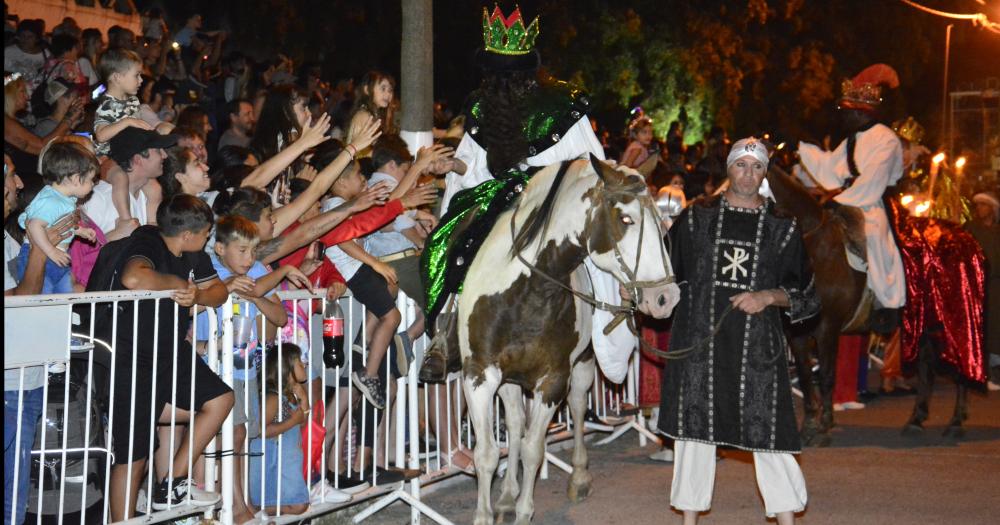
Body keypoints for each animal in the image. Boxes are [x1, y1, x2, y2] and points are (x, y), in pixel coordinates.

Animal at [456, 157, 680, 524]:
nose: (665, 298)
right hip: (509, 379)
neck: (527, 292)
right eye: (626, 219)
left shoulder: (553, 380)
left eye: (661, 223)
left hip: (584, 362)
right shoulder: (479, 374)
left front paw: (524, 511)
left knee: (576, 405)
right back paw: (506, 495)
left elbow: (534, 449)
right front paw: (490, 511)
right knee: (515, 422)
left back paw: (578, 477)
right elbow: (486, 453)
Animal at [764, 166, 984, 444]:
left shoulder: (827, 329)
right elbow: (804, 377)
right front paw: (809, 428)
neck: (815, 248)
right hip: (925, 326)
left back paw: (955, 423)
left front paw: (824, 427)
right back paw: (916, 420)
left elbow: (826, 376)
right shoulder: (797, 333)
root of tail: (968, 238)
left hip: (955, 321)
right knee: (927, 367)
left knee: (962, 363)